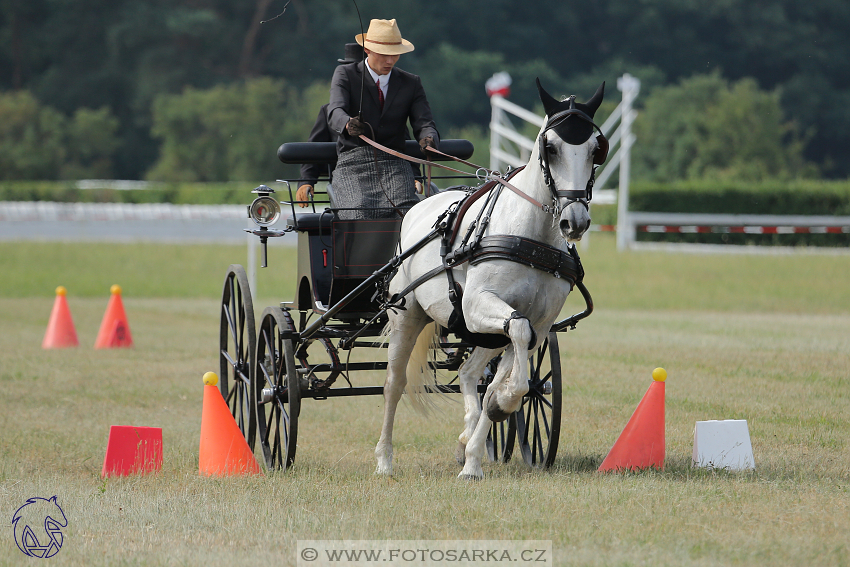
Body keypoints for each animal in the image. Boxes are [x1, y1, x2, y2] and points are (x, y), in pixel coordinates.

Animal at [376, 80, 604, 480]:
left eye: (596, 148)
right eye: (550, 147)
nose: (574, 222)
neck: (529, 236)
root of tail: (419, 205)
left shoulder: (540, 323)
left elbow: (507, 373)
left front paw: (478, 446)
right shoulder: (478, 305)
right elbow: (516, 337)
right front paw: (497, 410)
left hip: (481, 331)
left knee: (469, 372)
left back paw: (468, 440)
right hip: (408, 314)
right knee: (394, 384)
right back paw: (385, 460)